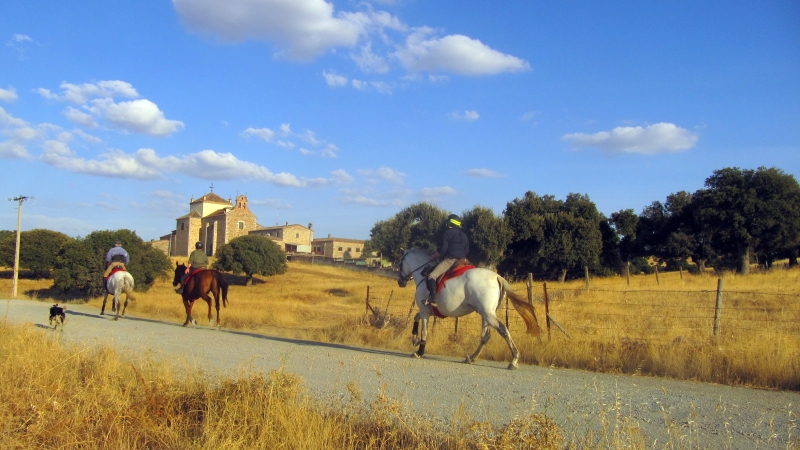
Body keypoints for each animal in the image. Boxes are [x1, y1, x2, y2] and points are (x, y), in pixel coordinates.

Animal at [396, 250, 540, 370]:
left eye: (400, 264)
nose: (400, 282)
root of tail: (497, 277)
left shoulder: (425, 311)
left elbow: (424, 331)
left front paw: (419, 351)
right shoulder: (427, 311)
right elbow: (415, 318)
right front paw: (414, 340)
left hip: (488, 314)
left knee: (503, 329)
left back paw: (513, 360)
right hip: (486, 314)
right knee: (485, 336)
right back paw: (472, 357)